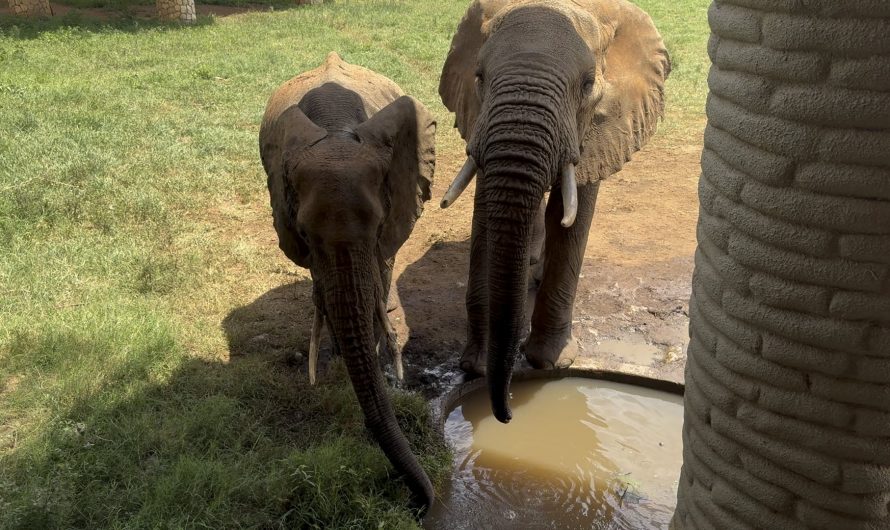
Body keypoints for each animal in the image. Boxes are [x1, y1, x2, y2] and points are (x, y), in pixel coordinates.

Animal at [438, 0, 670, 423]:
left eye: (588, 85)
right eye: (479, 77)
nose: (506, 416)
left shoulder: (602, 128)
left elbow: (573, 211)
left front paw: (552, 363)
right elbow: (486, 214)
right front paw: (476, 367)